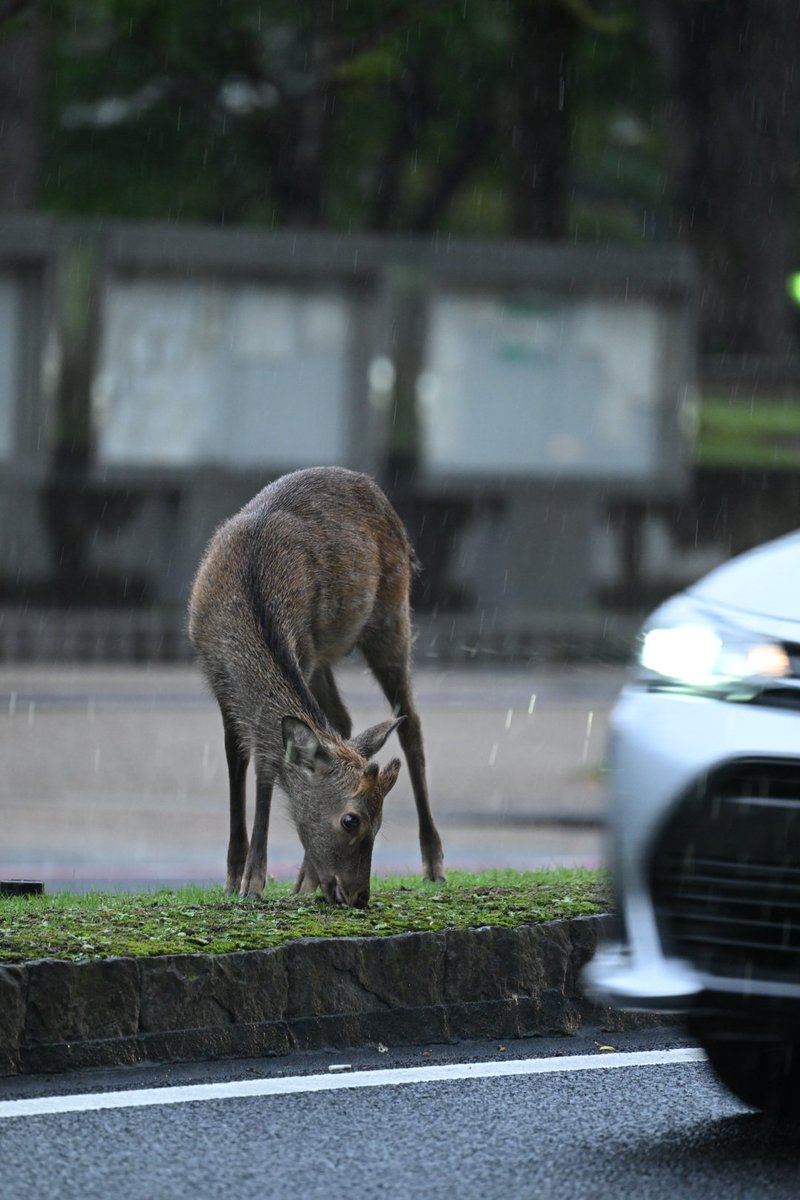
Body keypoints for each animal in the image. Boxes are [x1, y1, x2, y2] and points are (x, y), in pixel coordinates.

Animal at [188, 466, 445, 907]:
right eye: (351, 820)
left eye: (380, 824)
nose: (359, 896)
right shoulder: (218, 678)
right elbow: (241, 760)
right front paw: (237, 877)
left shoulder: (304, 650)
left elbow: (268, 760)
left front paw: (256, 880)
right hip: (328, 654)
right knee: (343, 718)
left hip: (392, 613)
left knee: (410, 721)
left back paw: (433, 864)